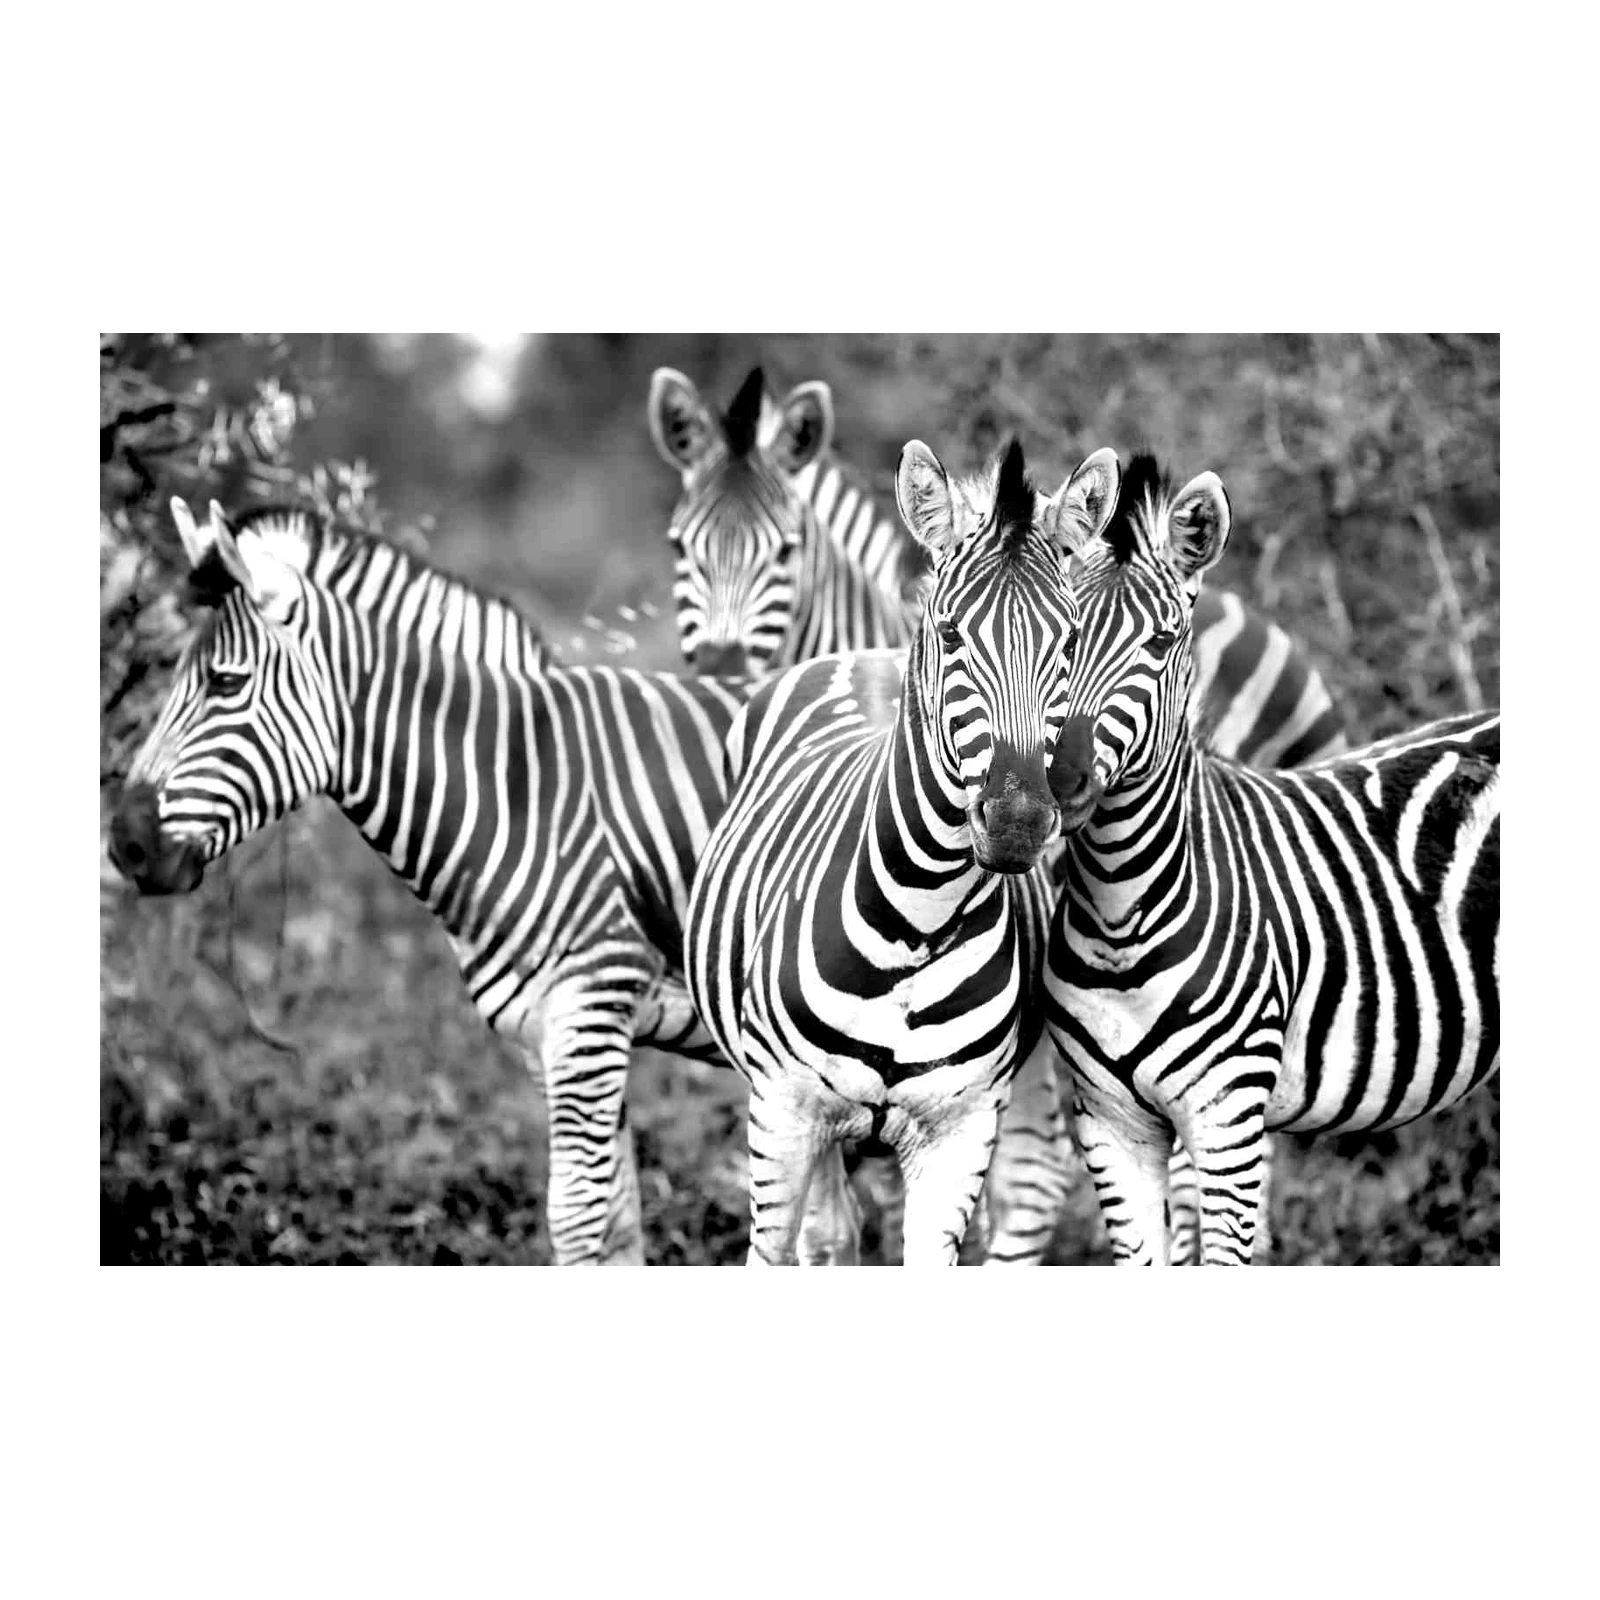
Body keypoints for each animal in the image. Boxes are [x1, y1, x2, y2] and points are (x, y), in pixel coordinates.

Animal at [107, 497, 779, 1271]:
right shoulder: (550, 1036)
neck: (526, 794)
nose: (124, 844)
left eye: (225, 683)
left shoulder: (591, 1008)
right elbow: (619, 1221)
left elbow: (577, 1219)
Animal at [685, 435, 1120, 1271]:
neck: (915, 920)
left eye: (1070, 641)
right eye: (950, 635)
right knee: (826, 1235)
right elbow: (776, 1249)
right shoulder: (783, 1113)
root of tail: (864, 654)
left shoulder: (962, 1128)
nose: (1017, 823)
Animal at [1041, 453, 1504, 1270]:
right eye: (1062, 636)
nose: (1064, 783)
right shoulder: (1109, 1123)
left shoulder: (1229, 1120)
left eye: (1162, 643)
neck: (1121, 912)